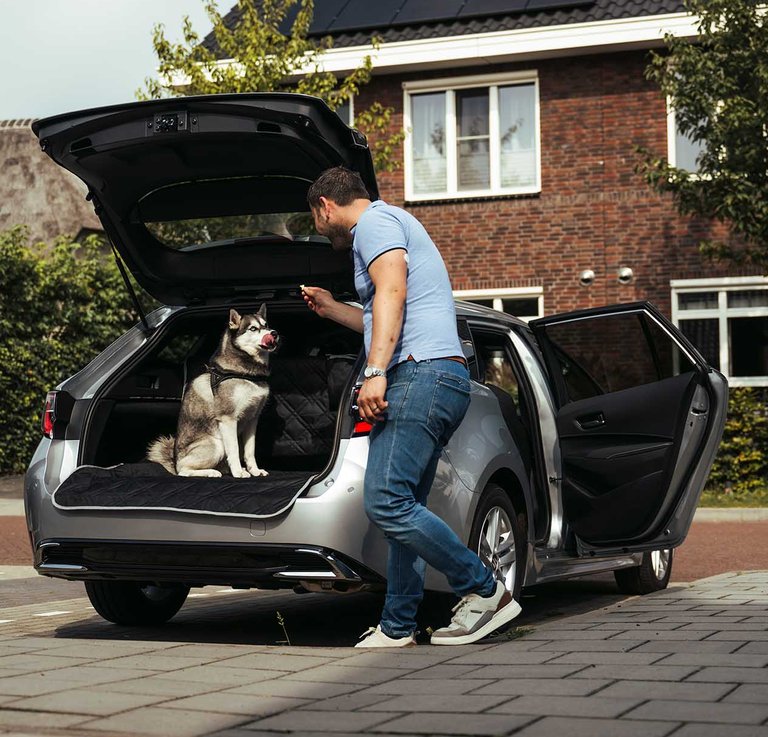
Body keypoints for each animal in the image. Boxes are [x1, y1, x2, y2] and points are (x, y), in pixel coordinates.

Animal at [147, 304, 280, 478]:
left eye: (266, 325)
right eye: (253, 328)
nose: (274, 333)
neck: (248, 374)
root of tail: (174, 463)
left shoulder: (252, 419)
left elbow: (250, 451)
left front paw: (254, 470)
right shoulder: (228, 419)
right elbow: (234, 450)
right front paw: (238, 473)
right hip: (217, 444)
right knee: (184, 470)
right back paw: (211, 472)